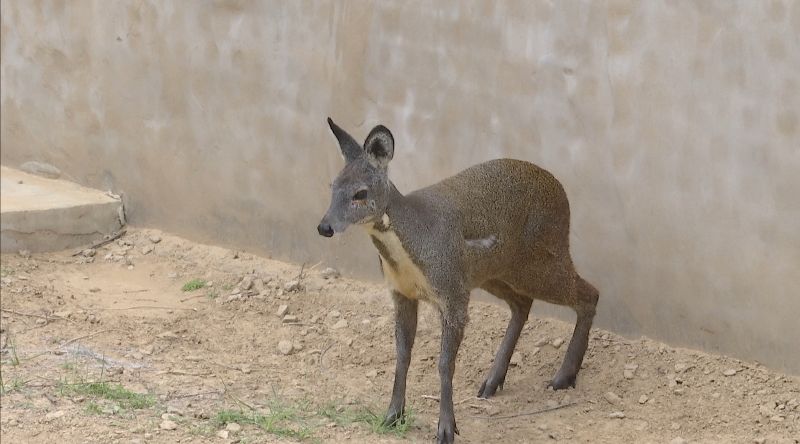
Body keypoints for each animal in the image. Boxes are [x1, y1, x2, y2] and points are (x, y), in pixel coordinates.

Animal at [316, 119, 596, 444]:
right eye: (332, 186)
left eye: (360, 193)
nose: (324, 227)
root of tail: (562, 192)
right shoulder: (403, 293)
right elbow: (402, 355)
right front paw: (392, 416)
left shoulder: (452, 293)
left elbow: (444, 363)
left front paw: (446, 429)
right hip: (492, 273)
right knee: (523, 303)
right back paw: (492, 381)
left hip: (540, 259)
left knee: (589, 293)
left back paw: (563, 377)